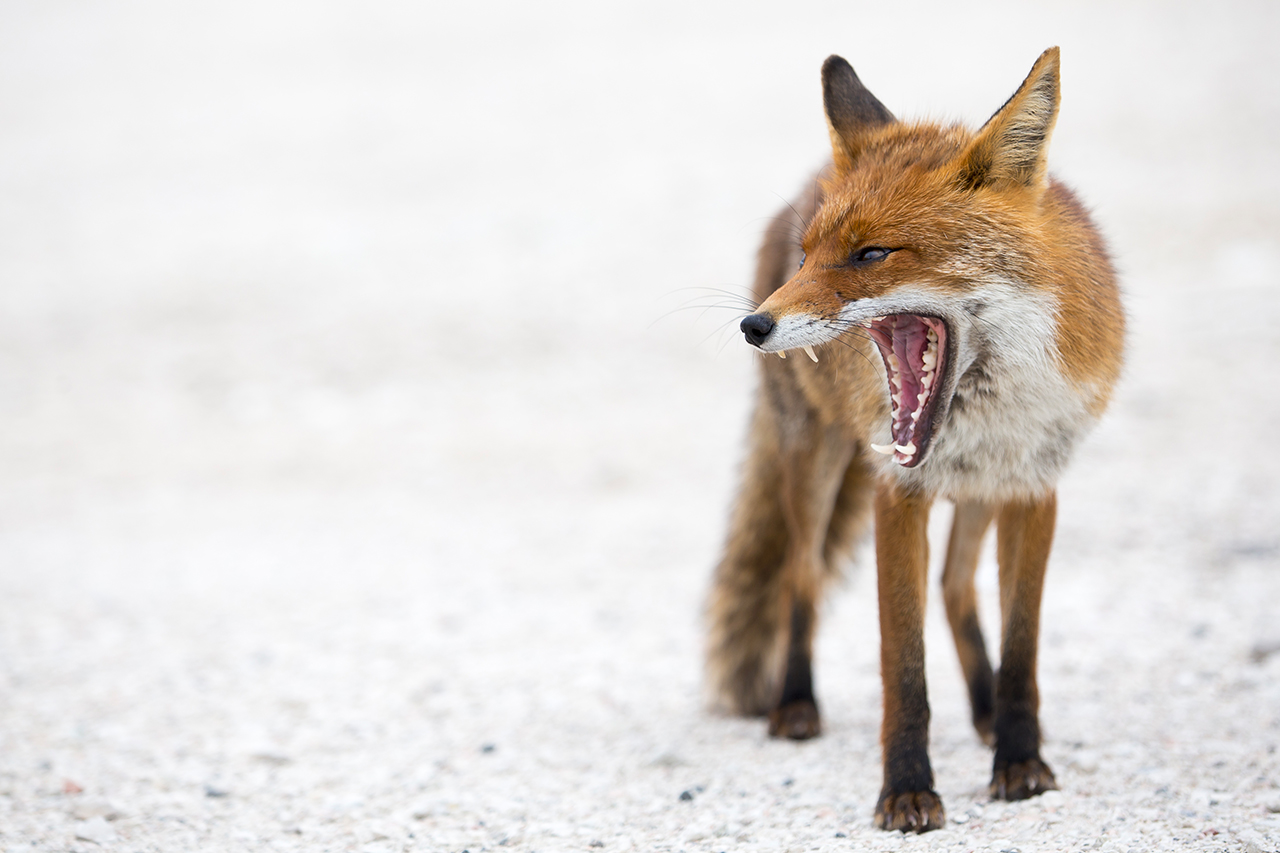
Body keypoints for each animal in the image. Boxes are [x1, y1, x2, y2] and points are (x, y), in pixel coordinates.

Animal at [705, 47, 1125, 833]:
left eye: (872, 254)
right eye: (809, 256)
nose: (753, 325)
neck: (991, 408)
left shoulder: (1033, 489)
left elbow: (1023, 649)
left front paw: (1020, 761)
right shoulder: (896, 494)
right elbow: (903, 669)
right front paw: (905, 790)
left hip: (979, 494)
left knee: (955, 586)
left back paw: (986, 712)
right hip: (815, 462)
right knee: (801, 575)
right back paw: (795, 703)